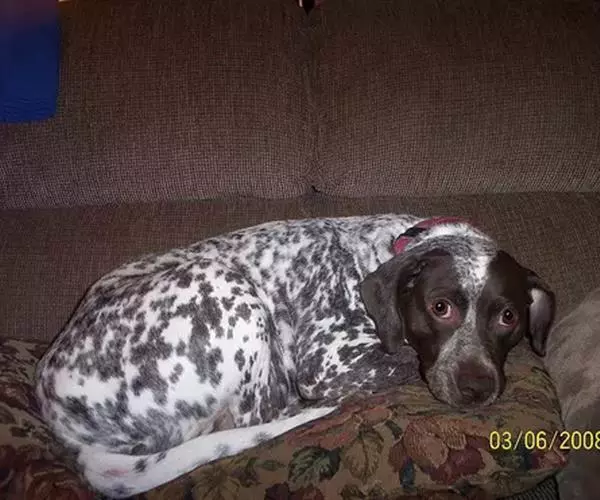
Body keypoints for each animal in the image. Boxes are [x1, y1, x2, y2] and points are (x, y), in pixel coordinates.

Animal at [35, 214, 555, 497]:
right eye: (440, 307)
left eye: (508, 317)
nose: (477, 389)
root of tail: (66, 431)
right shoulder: (325, 365)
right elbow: (404, 363)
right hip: (231, 288)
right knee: (258, 416)